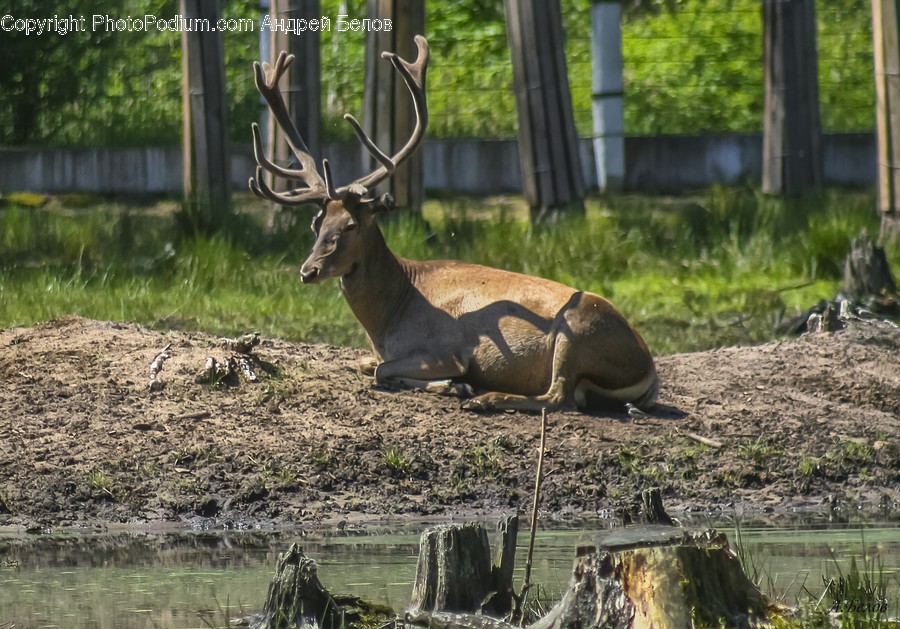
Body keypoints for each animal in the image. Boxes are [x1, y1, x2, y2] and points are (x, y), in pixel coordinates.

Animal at [248, 36, 658, 413]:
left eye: (350, 225)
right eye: (316, 223)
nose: (308, 270)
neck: (387, 319)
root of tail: (649, 369)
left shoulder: (446, 349)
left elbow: (383, 369)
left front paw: (454, 384)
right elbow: (367, 364)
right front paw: (448, 385)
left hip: (576, 329)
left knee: (559, 397)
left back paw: (487, 398)